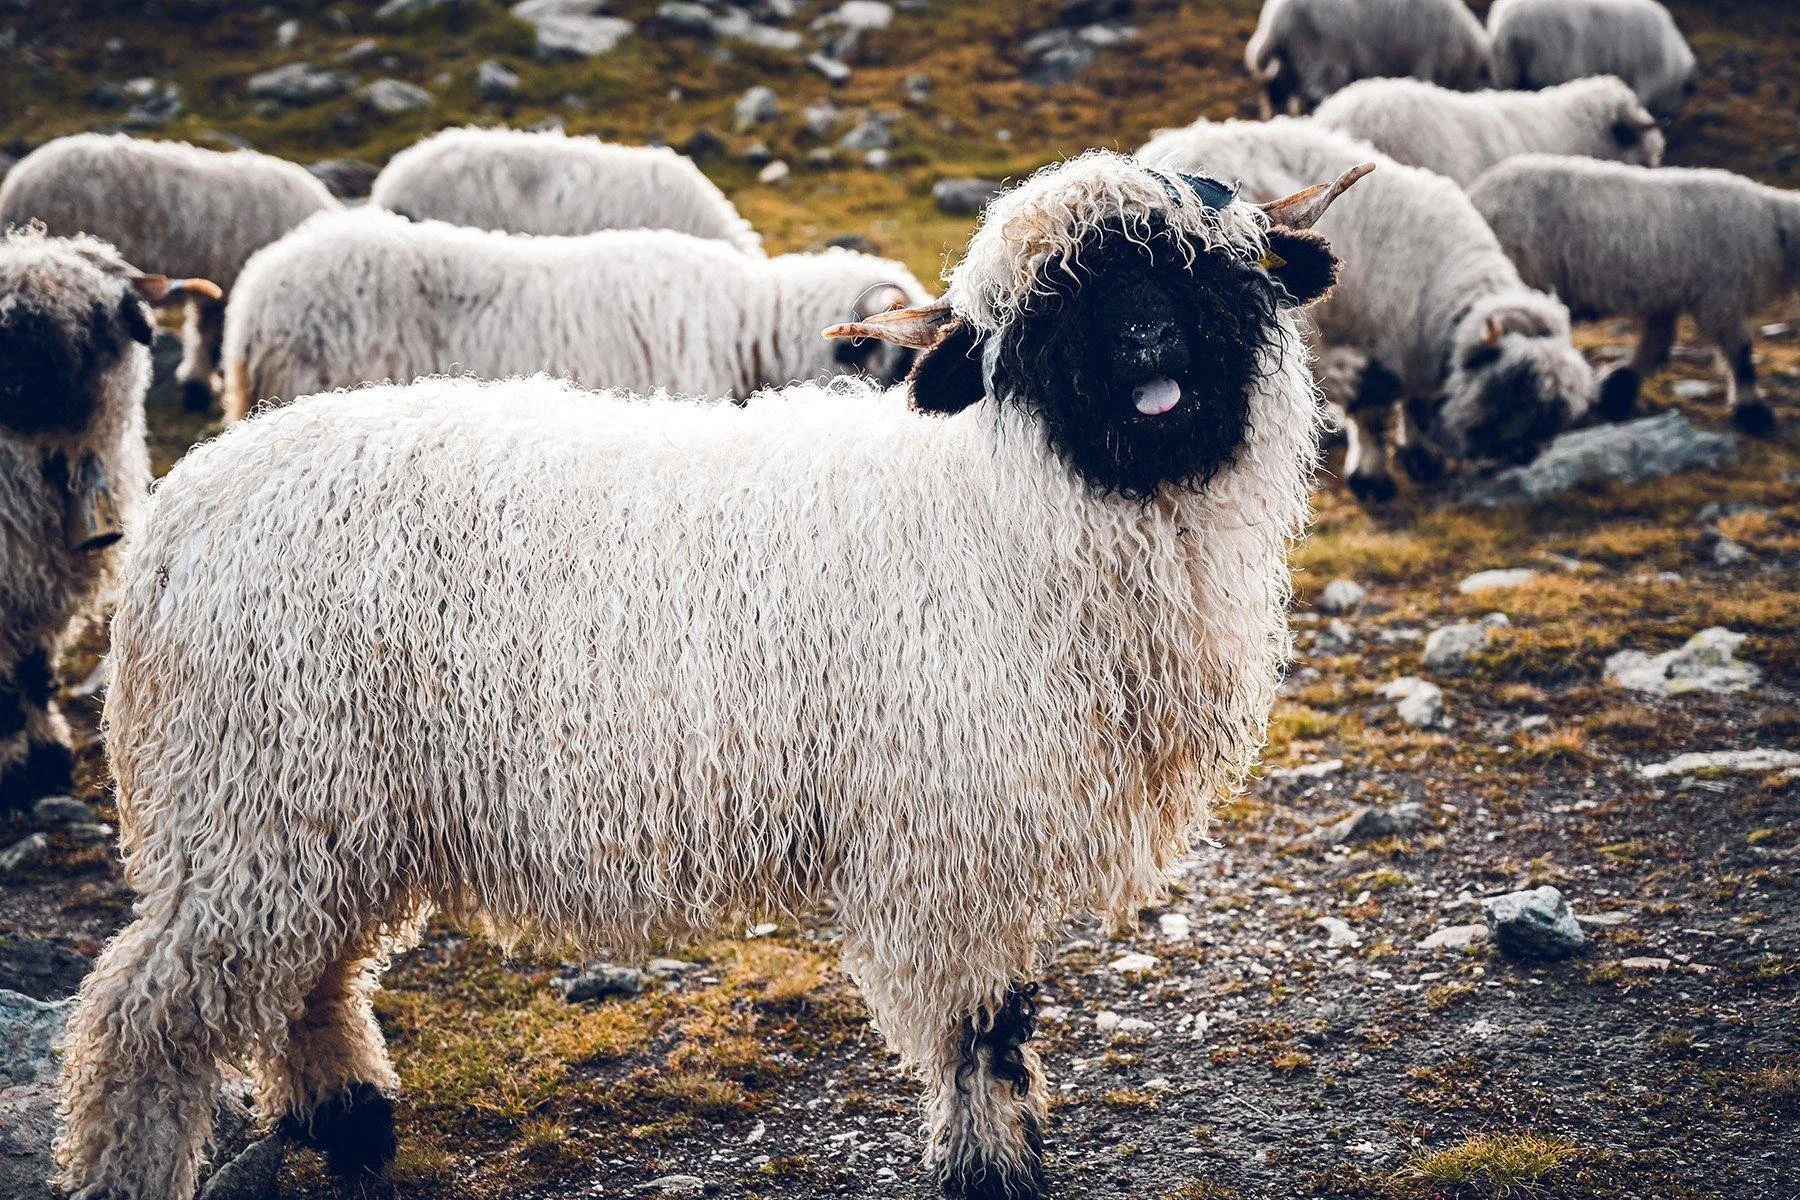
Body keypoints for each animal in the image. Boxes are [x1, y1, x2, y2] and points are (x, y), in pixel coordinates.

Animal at [0, 134, 338, 413]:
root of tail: (16, 184)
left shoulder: (218, 286)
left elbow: (205, 331)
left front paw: (196, 381)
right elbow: (208, 335)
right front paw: (199, 384)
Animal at [1140, 117, 1596, 504]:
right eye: (1513, 387)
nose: (1527, 454)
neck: (1438, 292)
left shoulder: (1412, 349)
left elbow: (1414, 403)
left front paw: (1423, 459)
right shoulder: (1364, 344)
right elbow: (1373, 412)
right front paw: (1373, 480)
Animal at [1244, 0, 1492, 117]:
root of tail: (1276, 22)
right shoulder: (1424, 59)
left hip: (1290, 60)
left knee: (1274, 90)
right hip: (1320, 55)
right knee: (1314, 95)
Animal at [1471, 154, 1796, 437]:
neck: (1772, 226)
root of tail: (1479, 193)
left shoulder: (1668, 295)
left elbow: (1656, 344)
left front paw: (1619, 390)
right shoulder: (1720, 295)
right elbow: (1739, 351)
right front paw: (1753, 410)